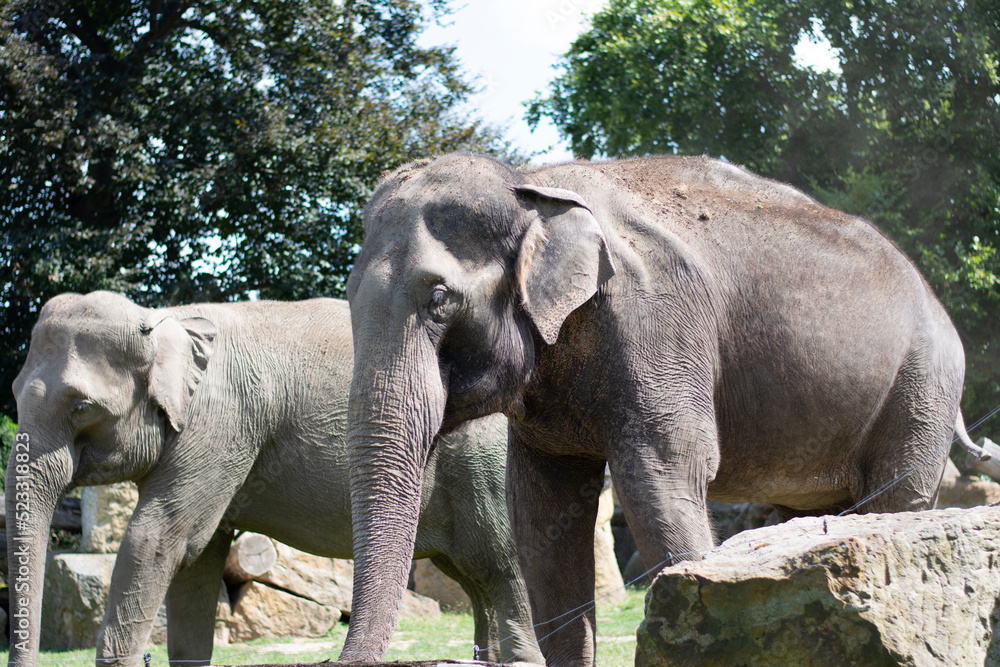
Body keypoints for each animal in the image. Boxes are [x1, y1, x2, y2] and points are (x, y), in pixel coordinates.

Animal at [7, 291, 543, 667]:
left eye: (81, 408)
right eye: (12, 391)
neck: (166, 319)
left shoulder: (220, 421)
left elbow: (160, 539)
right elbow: (198, 558)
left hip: (485, 467)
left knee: (500, 564)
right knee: (475, 575)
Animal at [340, 153, 989, 666]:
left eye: (440, 300)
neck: (532, 186)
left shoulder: (655, 323)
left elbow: (663, 477)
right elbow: (543, 512)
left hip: (922, 386)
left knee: (897, 496)